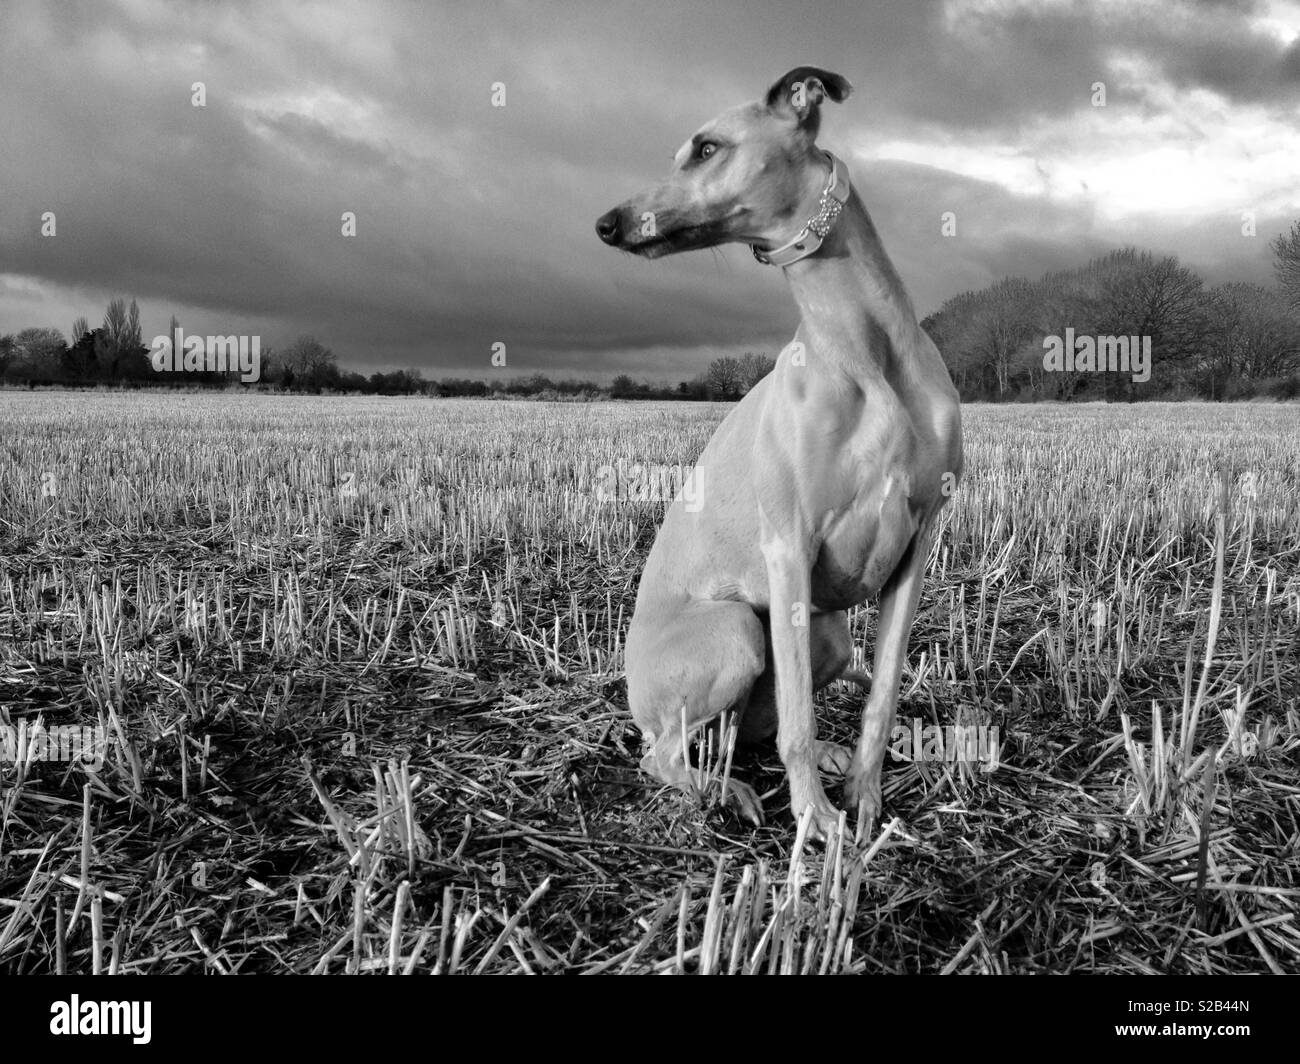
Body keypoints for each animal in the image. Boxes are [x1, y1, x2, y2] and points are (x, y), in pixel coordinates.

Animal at [595, 64, 961, 837]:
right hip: (737, 628)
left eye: (706, 148)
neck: (866, 355)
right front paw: (816, 822)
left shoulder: (915, 547)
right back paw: (720, 790)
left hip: (827, 634)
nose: (606, 223)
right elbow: (796, 716)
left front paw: (864, 795)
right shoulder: (788, 546)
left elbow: (879, 699)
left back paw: (816, 758)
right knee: (664, 753)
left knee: (753, 728)